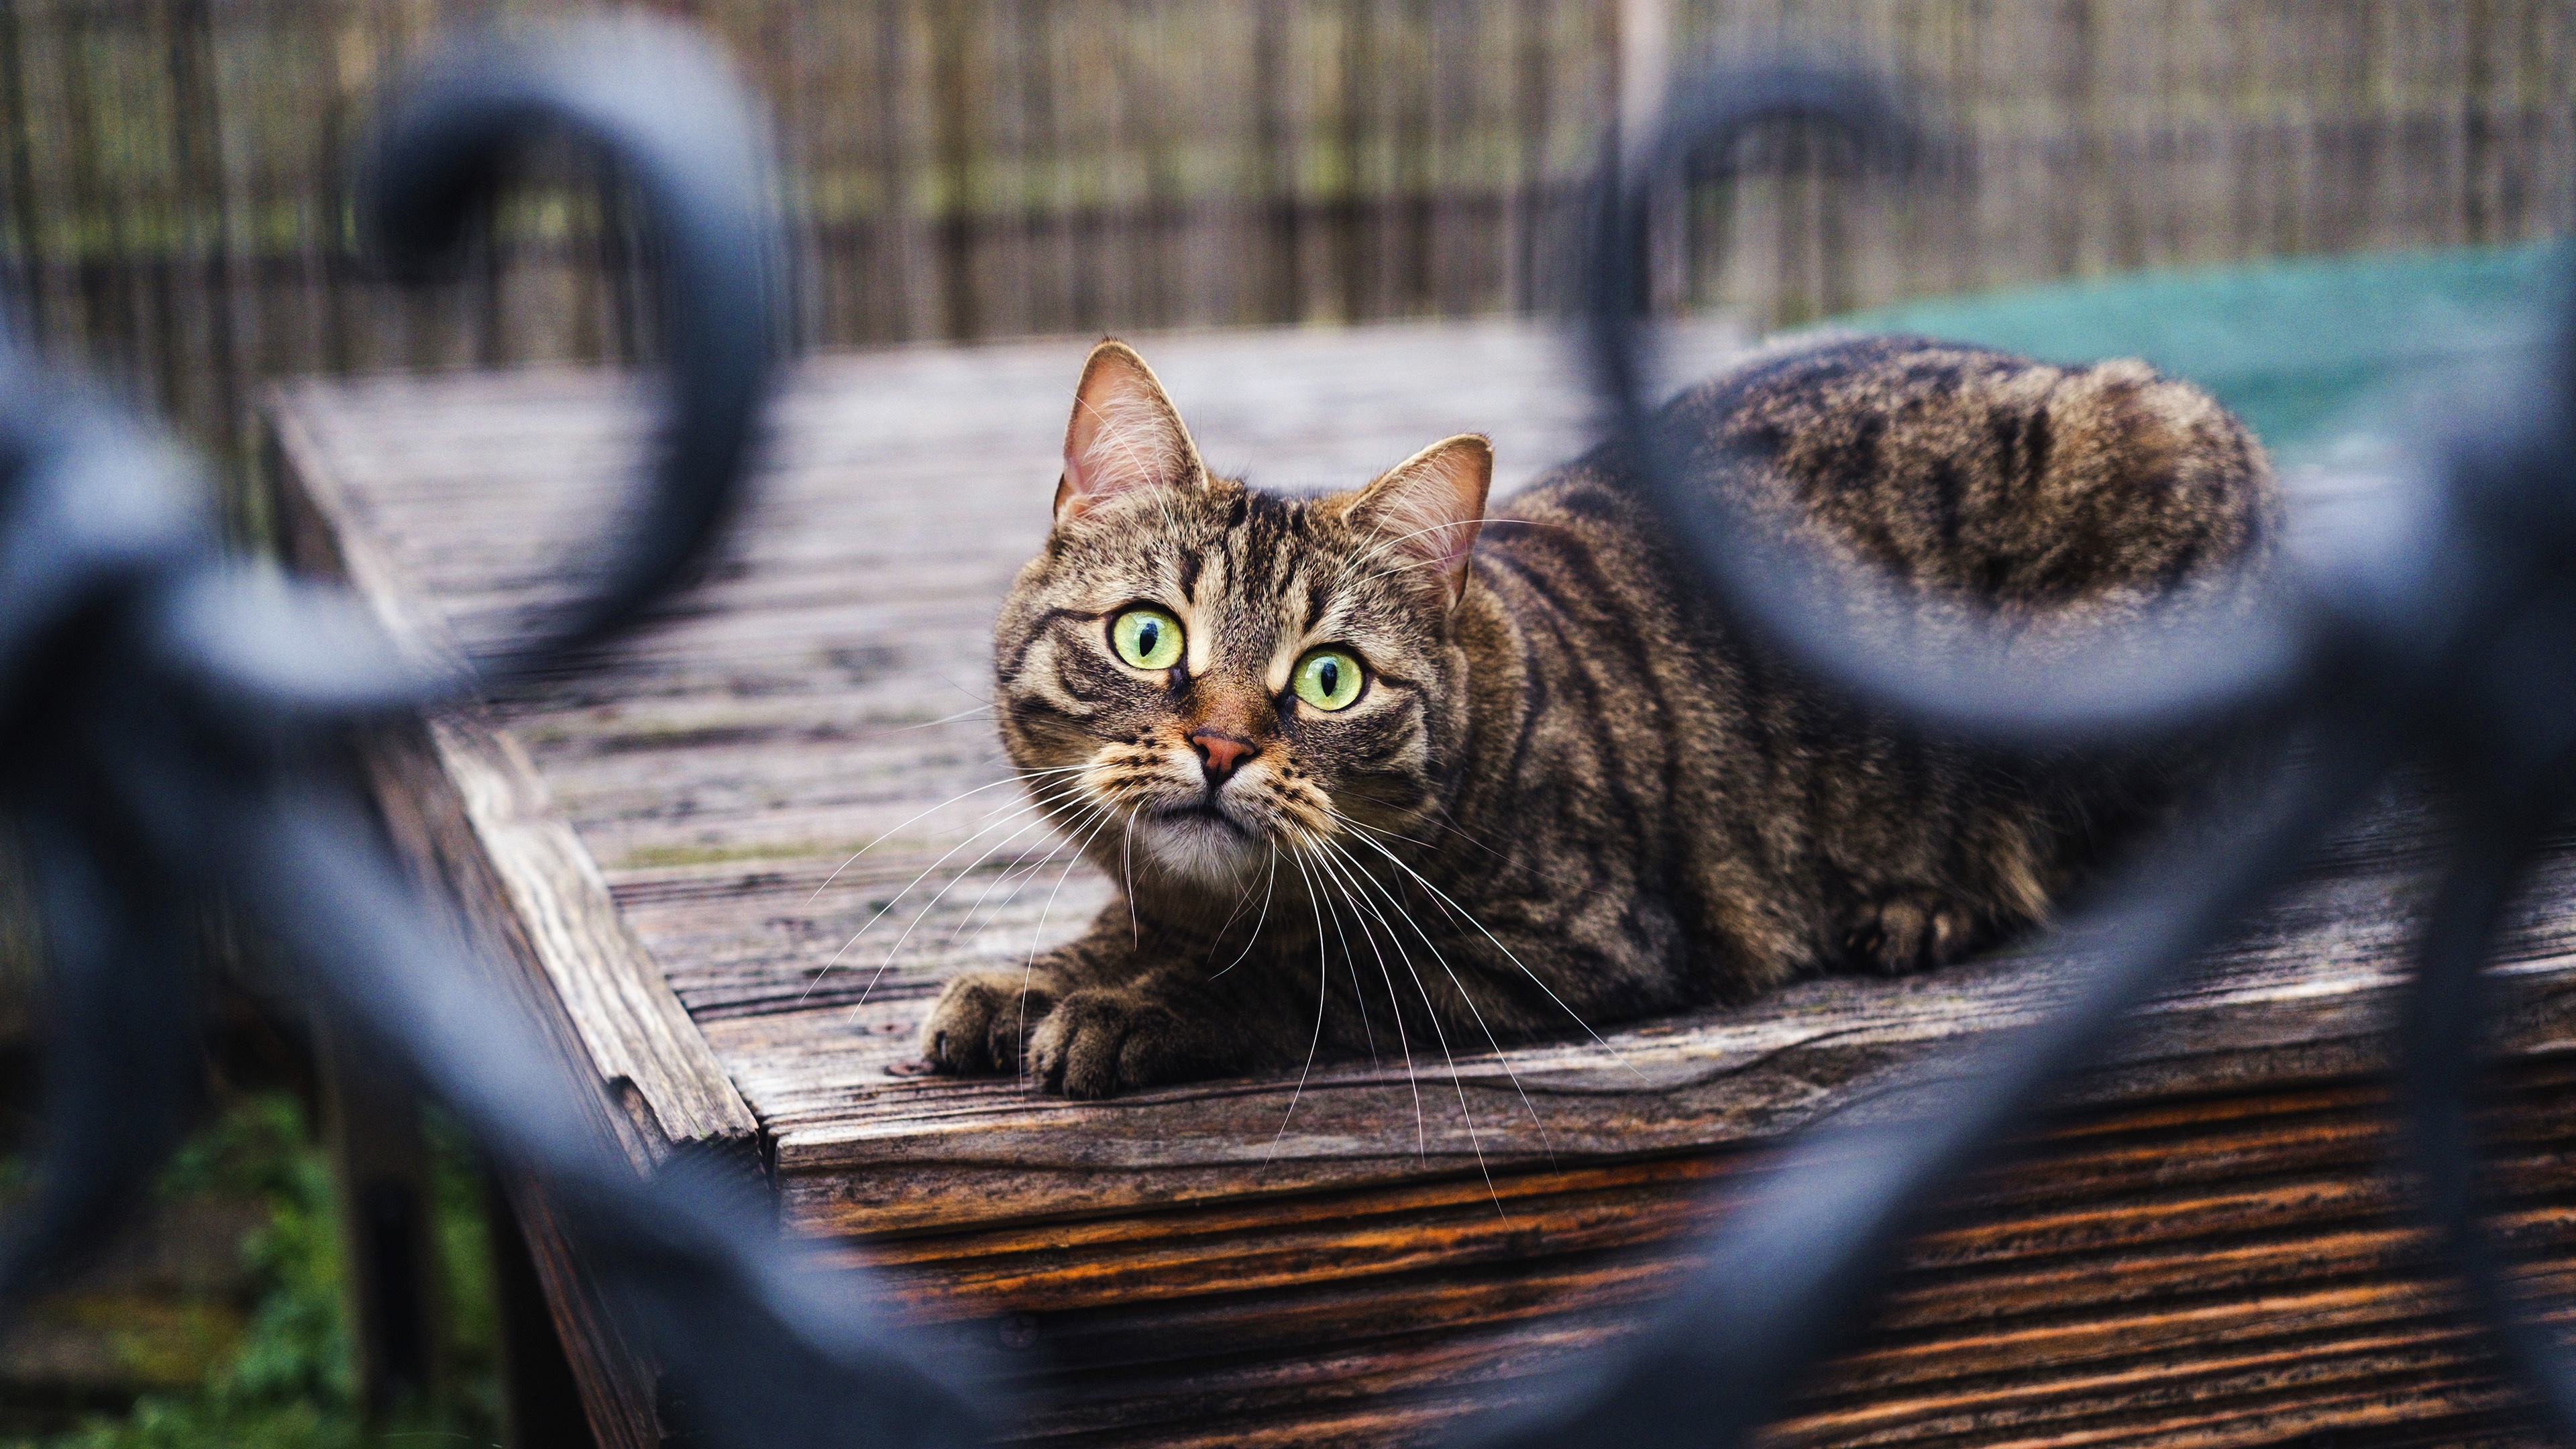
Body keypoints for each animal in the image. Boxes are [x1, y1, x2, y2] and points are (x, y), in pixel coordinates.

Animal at [912, 329, 2277, 1093]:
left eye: (1329, 679)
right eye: (1148, 637)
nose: (1221, 743)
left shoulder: (1564, 944)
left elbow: (1293, 977)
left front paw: (1131, 1009)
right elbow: (1128, 923)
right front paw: (1033, 980)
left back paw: (1925, 903)